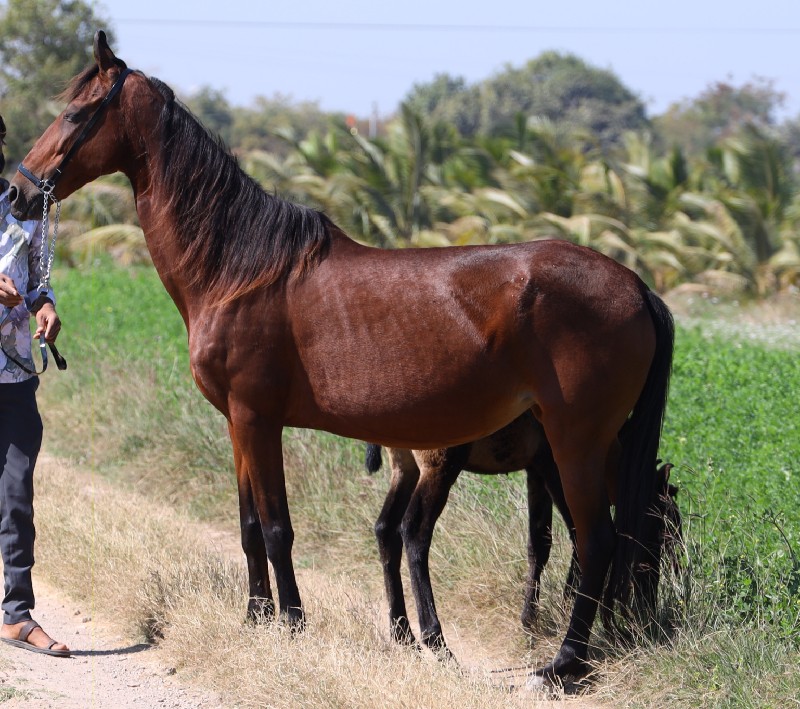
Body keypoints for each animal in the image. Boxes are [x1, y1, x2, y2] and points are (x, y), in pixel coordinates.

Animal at [366, 412, 580, 656]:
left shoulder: (536, 466)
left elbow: (539, 543)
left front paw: (531, 624)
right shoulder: (555, 462)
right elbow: (579, 535)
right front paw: (566, 611)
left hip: (405, 468)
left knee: (385, 527)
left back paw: (403, 635)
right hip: (439, 466)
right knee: (414, 530)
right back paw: (436, 641)